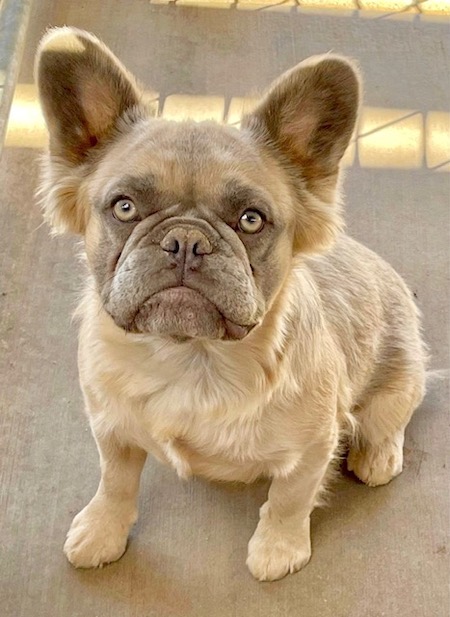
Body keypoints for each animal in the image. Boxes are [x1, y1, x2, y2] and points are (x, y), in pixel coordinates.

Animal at [35, 27, 427, 581]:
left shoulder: (313, 449)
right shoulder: (111, 429)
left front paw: (278, 547)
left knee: (391, 418)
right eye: (125, 208)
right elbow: (115, 482)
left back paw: (378, 456)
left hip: (396, 384)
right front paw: (103, 529)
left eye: (250, 220)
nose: (186, 240)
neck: (190, 358)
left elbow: (289, 498)